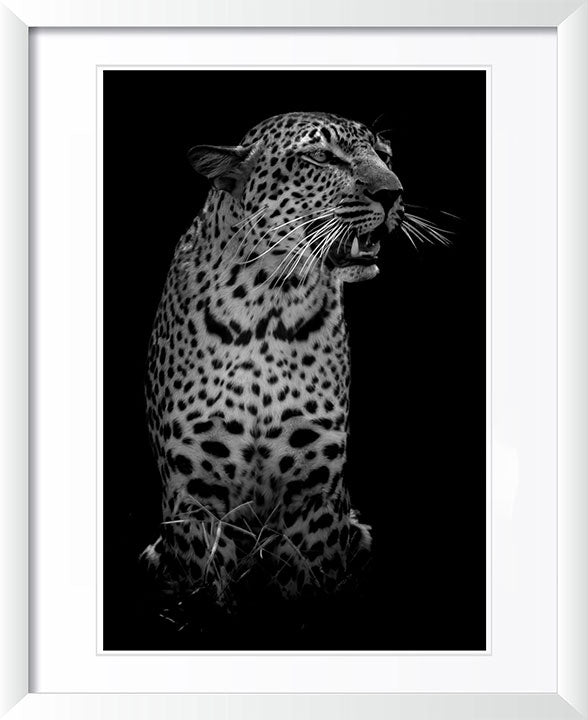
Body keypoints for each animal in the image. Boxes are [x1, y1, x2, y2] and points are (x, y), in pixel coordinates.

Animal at [142, 111, 404, 607]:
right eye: (321, 157)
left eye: (385, 155)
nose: (393, 192)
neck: (269, 303)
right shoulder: (194, 492)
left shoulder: (315, 492)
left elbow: (310, 574)